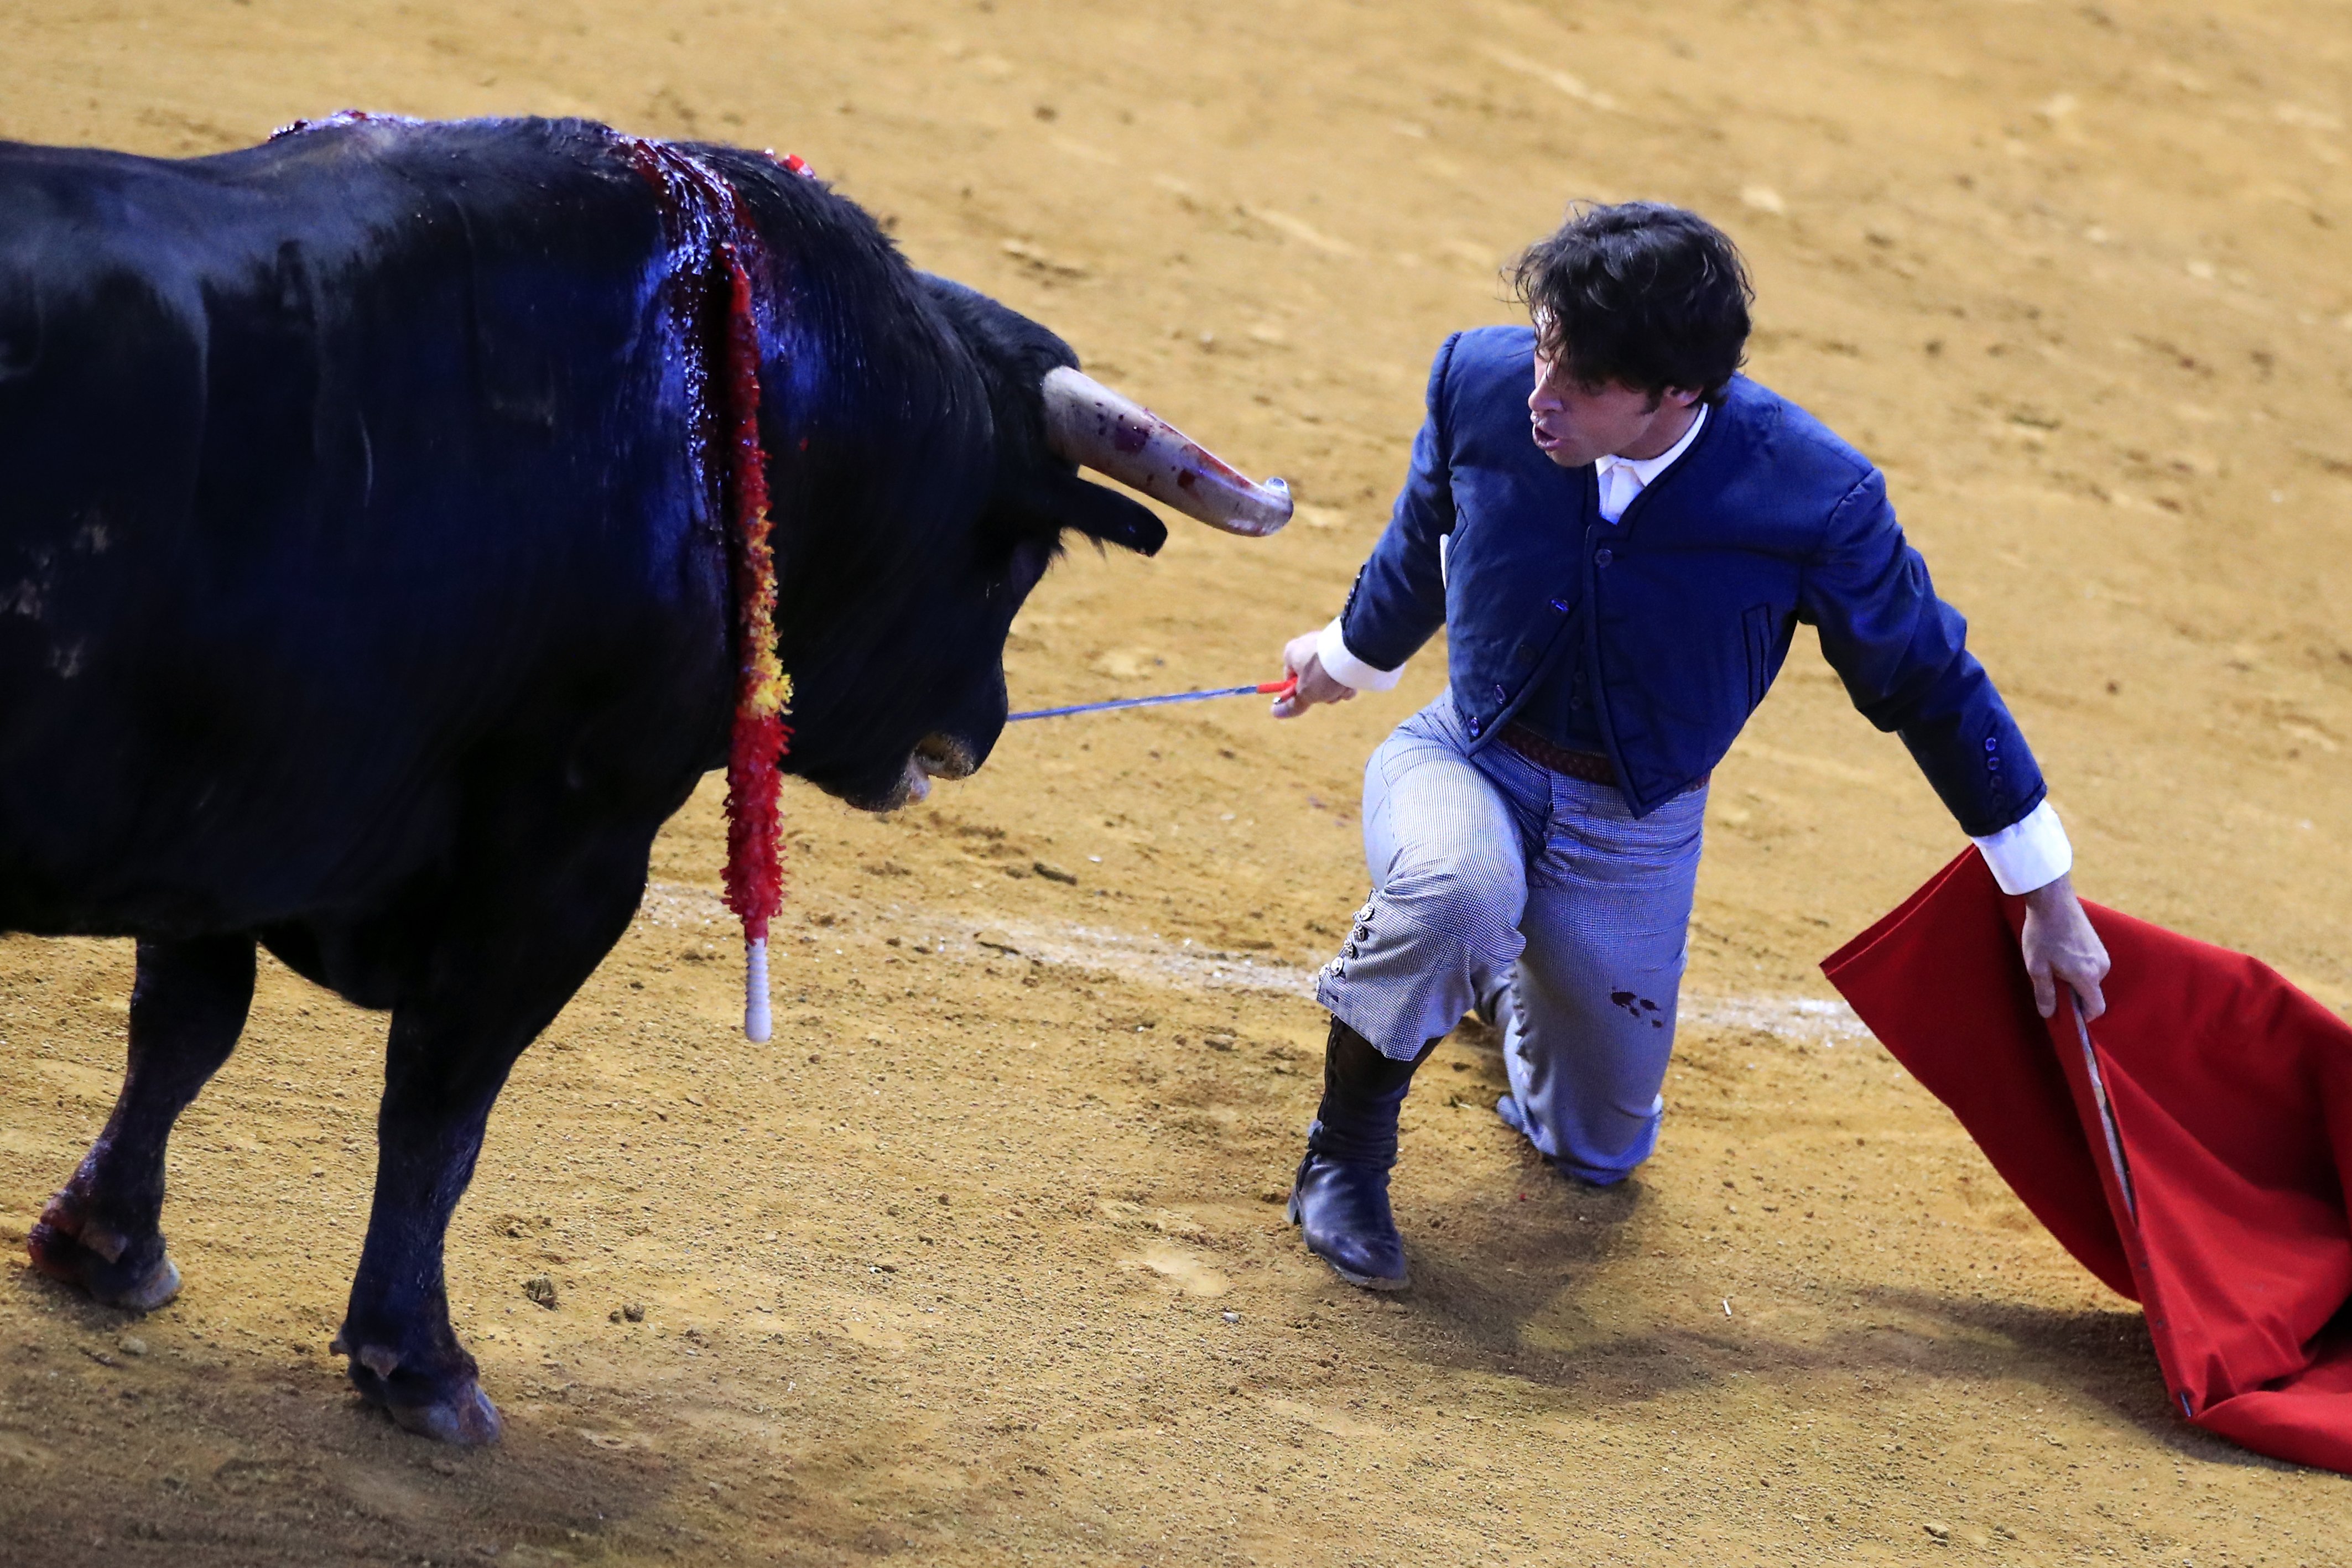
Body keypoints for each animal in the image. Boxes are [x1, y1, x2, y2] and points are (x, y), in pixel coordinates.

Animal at [0, 116, 1289, 1448]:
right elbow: (439, 1103)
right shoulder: (564, 861)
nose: (978, 729)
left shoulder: (238, 812)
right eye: (1014, 557)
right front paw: (422, 1364)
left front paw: (103, 1245)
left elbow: (186, 1027)